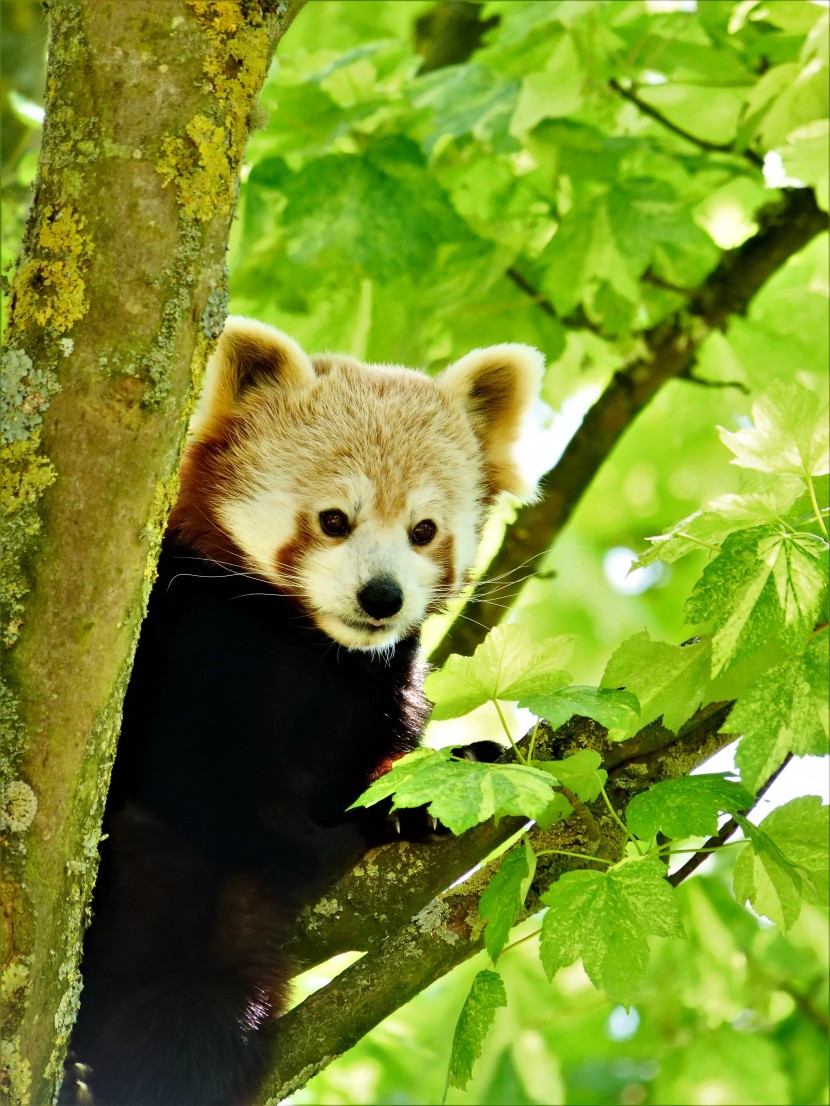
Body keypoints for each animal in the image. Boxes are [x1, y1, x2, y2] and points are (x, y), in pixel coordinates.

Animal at [63, 316, 546, 1101]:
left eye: (423, 530)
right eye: (334, 519)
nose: (381, 596)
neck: (309, 644)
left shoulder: (373, 685)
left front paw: (427, 790)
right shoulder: (176, 640)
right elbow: (192, 776)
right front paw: (316, 845)